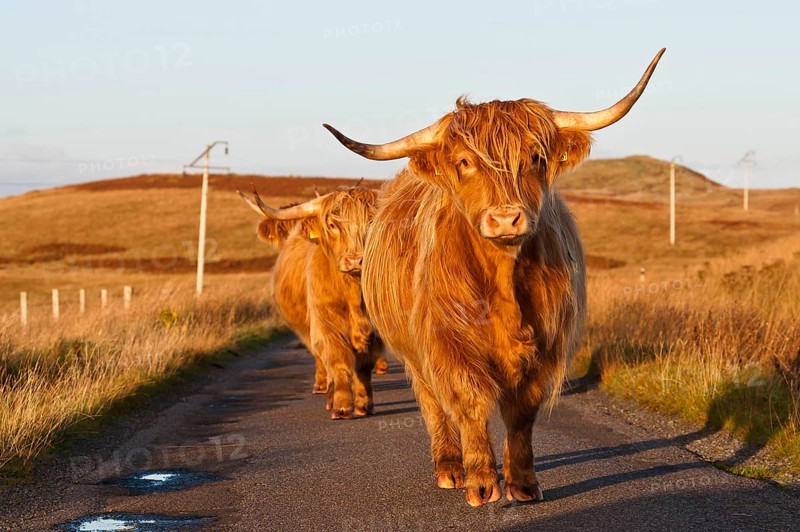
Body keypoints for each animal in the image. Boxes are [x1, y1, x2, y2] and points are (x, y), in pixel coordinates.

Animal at [239, 184, 383, 419]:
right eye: (332, 225)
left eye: (372, 222)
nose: (355, 260)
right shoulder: (326, 325)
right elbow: (338, 360)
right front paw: (342, 406)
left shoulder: (376, 332)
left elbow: (364, 366)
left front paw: (363, 404)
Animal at [324, 50, 665, 504]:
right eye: (465, 162)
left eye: (536, 158)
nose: (505, 218)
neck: (504, 284)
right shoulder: (449, 344)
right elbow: (469, 404)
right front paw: (482, 483)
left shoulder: (545, 345)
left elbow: (522, 415)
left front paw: (522, 483)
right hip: (414, 354)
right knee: (434, 406)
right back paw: (450, 468)